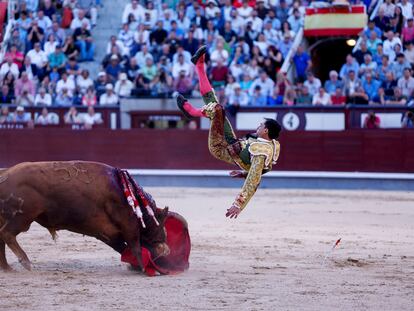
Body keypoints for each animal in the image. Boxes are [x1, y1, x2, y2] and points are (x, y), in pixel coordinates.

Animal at [0, 162, 170, 272]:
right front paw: (143, 268)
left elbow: (123, 247)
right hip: (22, 218)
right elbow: (134, 245)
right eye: (160, 226)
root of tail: (5, 174)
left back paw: (7, 268)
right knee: (6, 234)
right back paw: (26, 263)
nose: (166, 251)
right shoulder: (128, 224)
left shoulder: (105, 233)